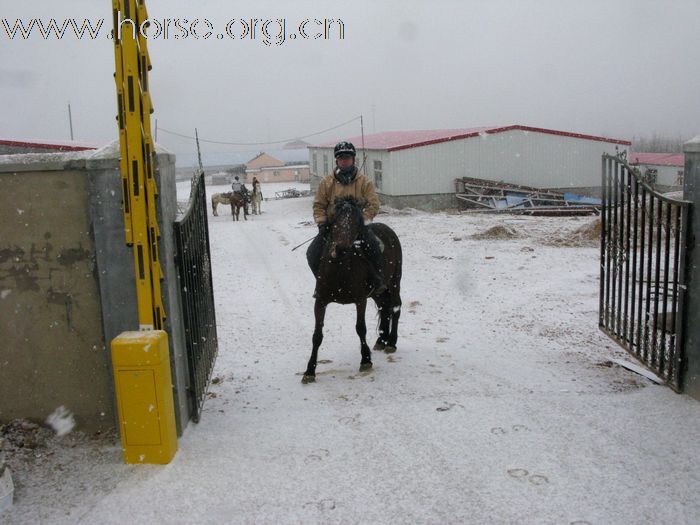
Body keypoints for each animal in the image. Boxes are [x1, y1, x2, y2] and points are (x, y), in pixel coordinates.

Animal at [302, 195, 404, 380]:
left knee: (395, 307)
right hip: (378, 292)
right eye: (335, 220)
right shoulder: (320, 301)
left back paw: (391, 342)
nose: (341, 248)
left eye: (357, 222)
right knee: (384, 307)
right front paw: (310, 370)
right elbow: (317, 335)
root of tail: (386, 229)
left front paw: (365, 360)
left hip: (394, 282)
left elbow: (360, 328)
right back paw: (382, 340)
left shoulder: (360, 300)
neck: (341, 267)